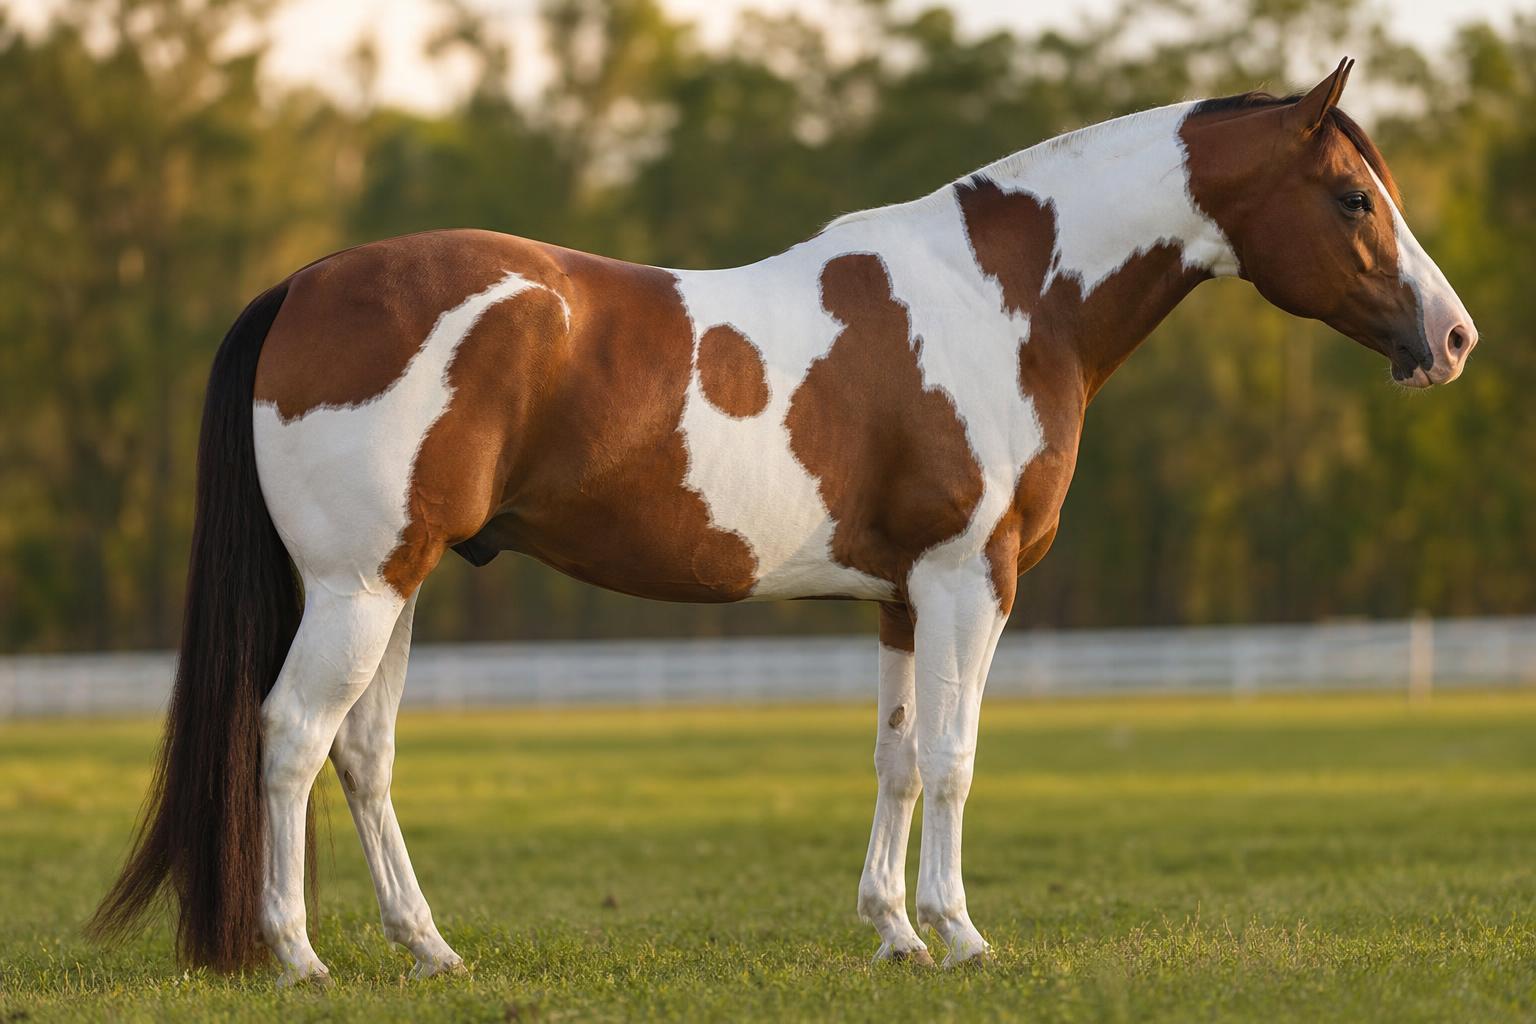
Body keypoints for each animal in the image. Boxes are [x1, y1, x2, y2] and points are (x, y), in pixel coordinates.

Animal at [90, 58, 1476, 983]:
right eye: (1353, 198)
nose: (1452, 338)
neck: (1007, 302)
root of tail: (305, 284)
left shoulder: (906, 599)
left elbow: (897, 758)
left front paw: (894, 930)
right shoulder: (973, 580)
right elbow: (956, 757)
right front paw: (962, 933)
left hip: (405, 582)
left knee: (363, 754)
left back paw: (428, 948)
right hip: (357, 584)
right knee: (289, 736)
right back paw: (295, 956)